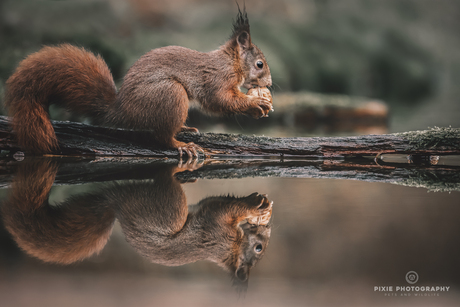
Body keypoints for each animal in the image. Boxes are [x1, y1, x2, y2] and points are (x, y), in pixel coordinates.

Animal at [4, 8, 274, 158]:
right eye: (260, 64)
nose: (270, 83)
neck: (232, 62)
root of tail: (122, 111)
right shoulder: (217, 78)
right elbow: (219, 100)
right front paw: (255, 104)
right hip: (170, 94)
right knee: (162, 137)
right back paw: (181, 144)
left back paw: (184, 128)